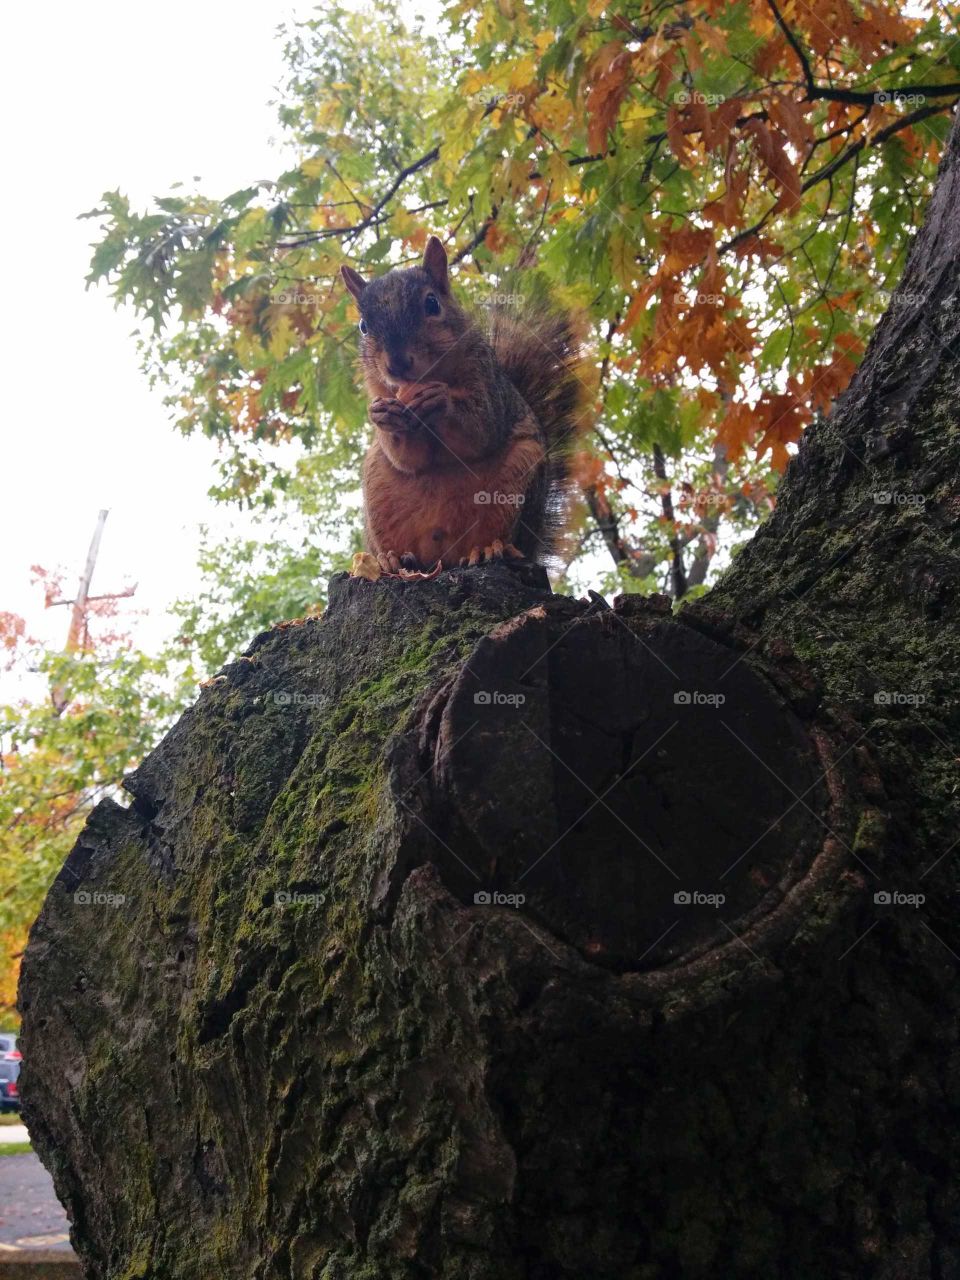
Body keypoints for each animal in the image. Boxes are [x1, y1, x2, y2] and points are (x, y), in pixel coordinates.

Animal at [340, 236, 587, 574]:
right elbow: (406, 458)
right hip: (379, 487)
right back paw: (391, 559)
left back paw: (486, 550)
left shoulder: (488, 385)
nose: (397, 364)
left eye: (432, 304)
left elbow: (480, 430)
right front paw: (382, 415)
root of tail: (442, 558)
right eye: (364, 326)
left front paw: (440, 400)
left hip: (514, 484)